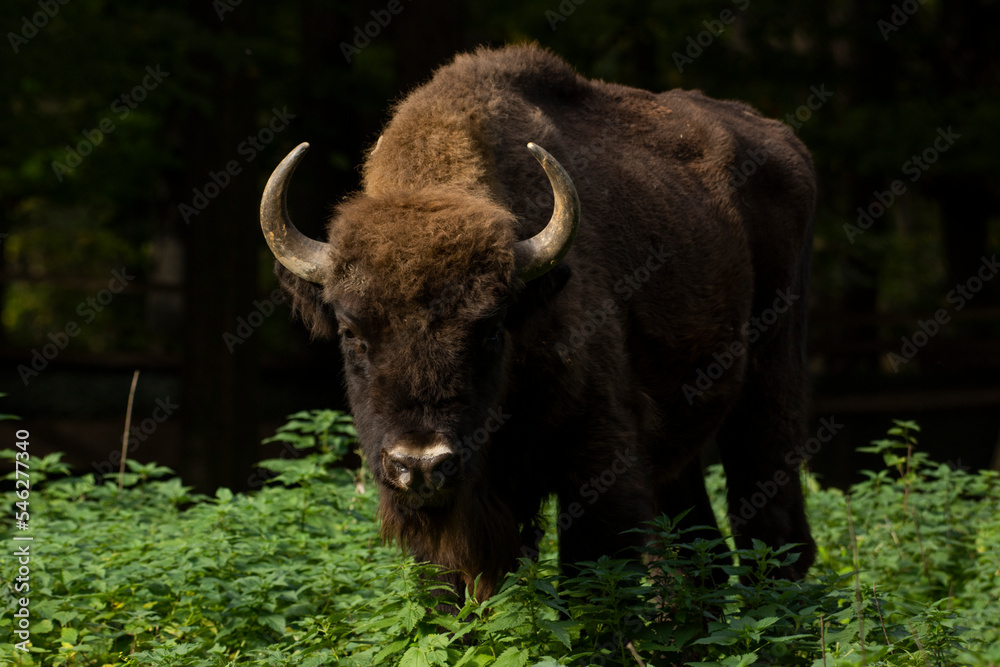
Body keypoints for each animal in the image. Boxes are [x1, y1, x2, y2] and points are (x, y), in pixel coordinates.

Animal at [262, 44, 816, 604]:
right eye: (351, 333)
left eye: (490, 329)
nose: (420, 463)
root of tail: (782, 140)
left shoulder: (600, 462)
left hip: (771, 383)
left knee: (773, 530)